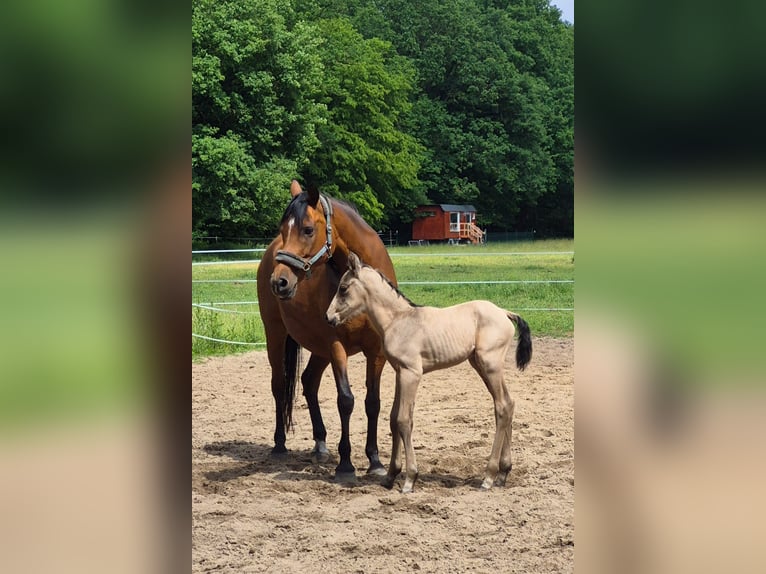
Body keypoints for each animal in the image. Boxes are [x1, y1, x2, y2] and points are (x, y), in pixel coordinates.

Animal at [256, 180, 397, 481]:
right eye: (282, 229)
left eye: (308, 229)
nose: (279, 282)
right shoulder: (336, 346)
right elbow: (346, 400)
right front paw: (345, 465)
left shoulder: (376, 351)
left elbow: (373, 402)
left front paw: (375, 460)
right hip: (275, 334)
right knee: (279, 385)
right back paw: (279, 444)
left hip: (318, 347)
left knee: (309, 382)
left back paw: (320, 444)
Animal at [326, 252, 533, 493]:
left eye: (343, 288)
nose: (328, 318)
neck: (398, 320)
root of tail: (505, 313)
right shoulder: (400, 372)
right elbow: (394, 418)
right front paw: (390, 476)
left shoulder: (411, 373)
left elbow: (403, 420)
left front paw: (409, 479)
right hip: (482, 366)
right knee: (508, 404)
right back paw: (503, 473)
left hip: (489, 365)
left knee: (502, 407)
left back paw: (488, 477)